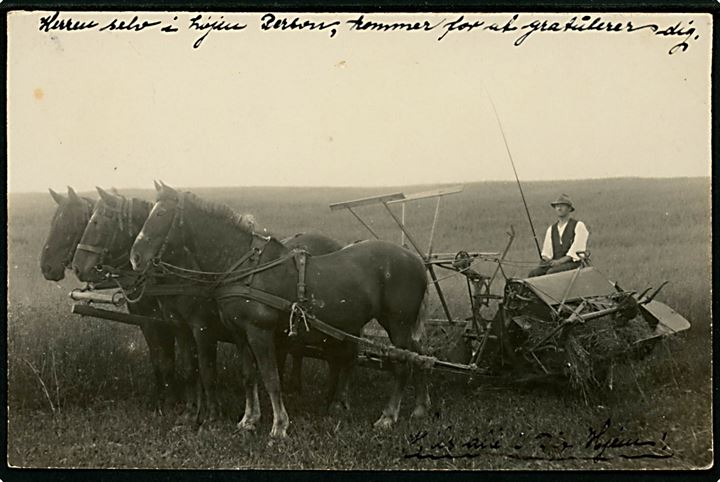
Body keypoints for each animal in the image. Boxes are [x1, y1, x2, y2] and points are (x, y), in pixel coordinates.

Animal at [131, 183, 428, 438]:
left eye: (161, 213)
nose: (136, 256)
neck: (246, 268)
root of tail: (415, 259)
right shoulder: (239, 334)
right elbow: (249, 375)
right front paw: (248, 420)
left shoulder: (258, 332)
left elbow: (271, 377)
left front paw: (279, 426)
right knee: (415, 356)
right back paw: (416, 408)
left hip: (398, 323)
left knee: (401, 365)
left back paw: (388, 417)